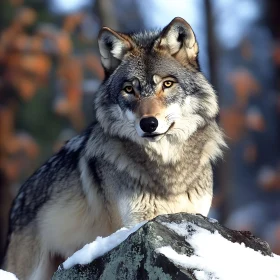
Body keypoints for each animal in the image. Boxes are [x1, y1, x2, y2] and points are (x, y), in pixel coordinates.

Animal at [2, 18, 225, 280]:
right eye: (129, 89)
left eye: (167, 84)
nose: (149, 124)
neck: (168, 171)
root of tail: (17, 203)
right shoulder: (132, 225)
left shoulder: (191, 214)